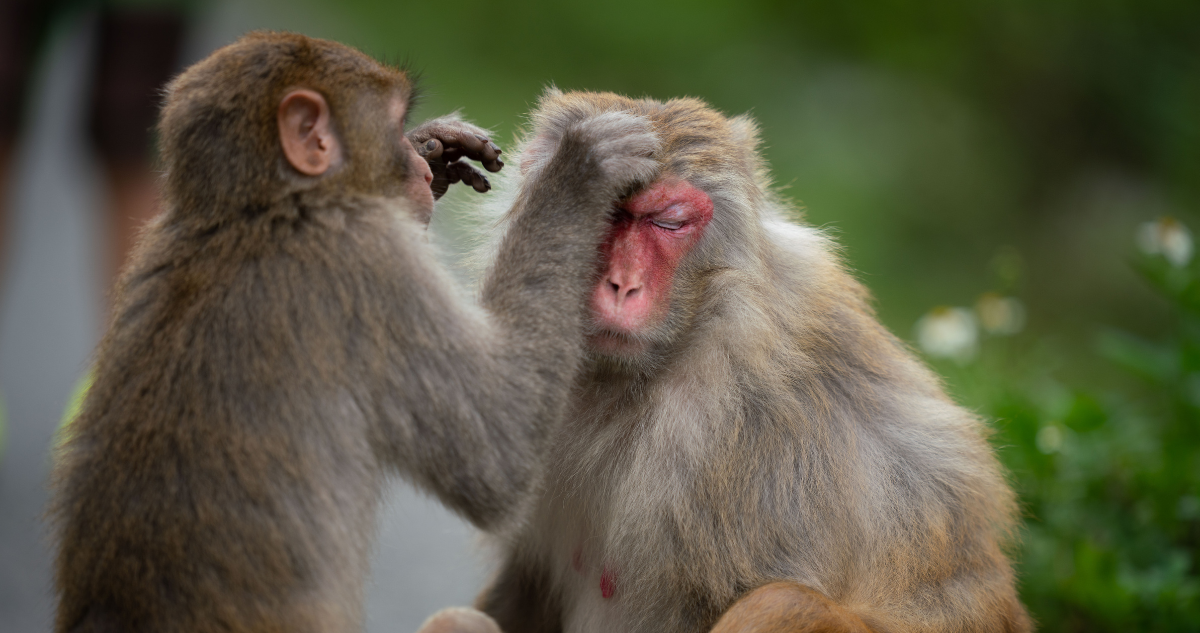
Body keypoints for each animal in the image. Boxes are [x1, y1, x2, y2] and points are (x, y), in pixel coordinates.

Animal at [46, 34, 662, 633]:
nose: (417, 169)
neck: (254, 210)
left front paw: (435, 146)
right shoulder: (366, 258)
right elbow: (498, 450)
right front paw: (581, 167)